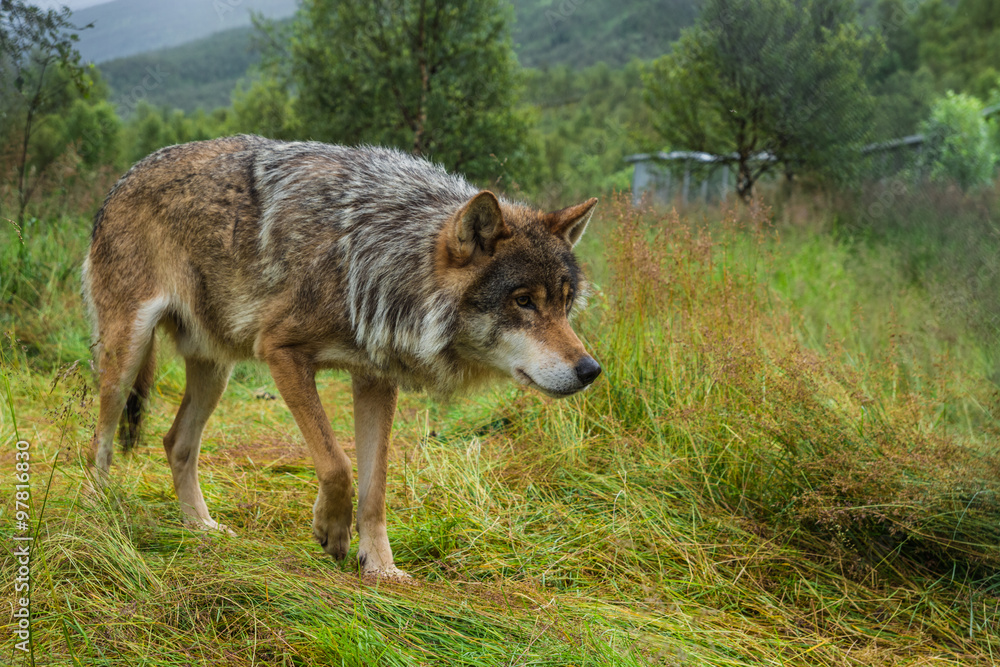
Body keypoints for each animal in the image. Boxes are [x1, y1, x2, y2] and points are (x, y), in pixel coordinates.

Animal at [82, 135, 601, 577]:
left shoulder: (376, 379)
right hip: (127, 353)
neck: (383, 255)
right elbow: (336, 463)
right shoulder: (282, 353)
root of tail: (123, 179)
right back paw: (101, 511)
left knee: (176, 442)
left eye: (564, 302)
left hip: (215, 371)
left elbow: (375, 487)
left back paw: (201, 527)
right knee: (100, 438)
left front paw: (382, 568)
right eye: (523, 301)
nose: (591, 370)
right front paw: (331, 531)